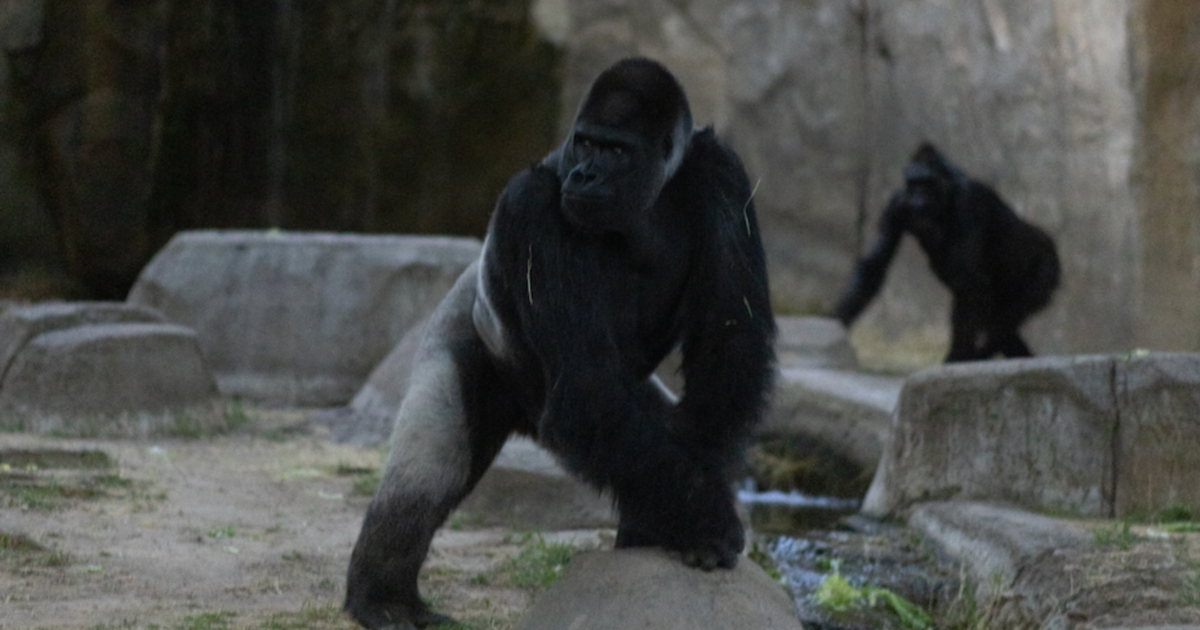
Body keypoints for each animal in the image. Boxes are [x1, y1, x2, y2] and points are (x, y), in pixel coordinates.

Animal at [348, 57, 777, 624]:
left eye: (615, 151)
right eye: (586, 143)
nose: (584, 174)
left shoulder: (721, 171)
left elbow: (729, 345)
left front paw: (694, 504)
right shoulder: (530, 204)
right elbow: (590, 385)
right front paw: (707, 520)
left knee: (644, 438)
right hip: (459, 327)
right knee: (431, 469)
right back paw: (383, 597)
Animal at [835, 141, 1060, 357]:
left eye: (927, 183)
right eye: (913, 183)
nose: (918, 199)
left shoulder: (969, 200)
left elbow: (967, 280)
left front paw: (957, 356)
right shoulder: (896, 204)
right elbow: (875, 264)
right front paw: (835, 323)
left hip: (1045, 272)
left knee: (1002, 320)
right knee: (998, 324)